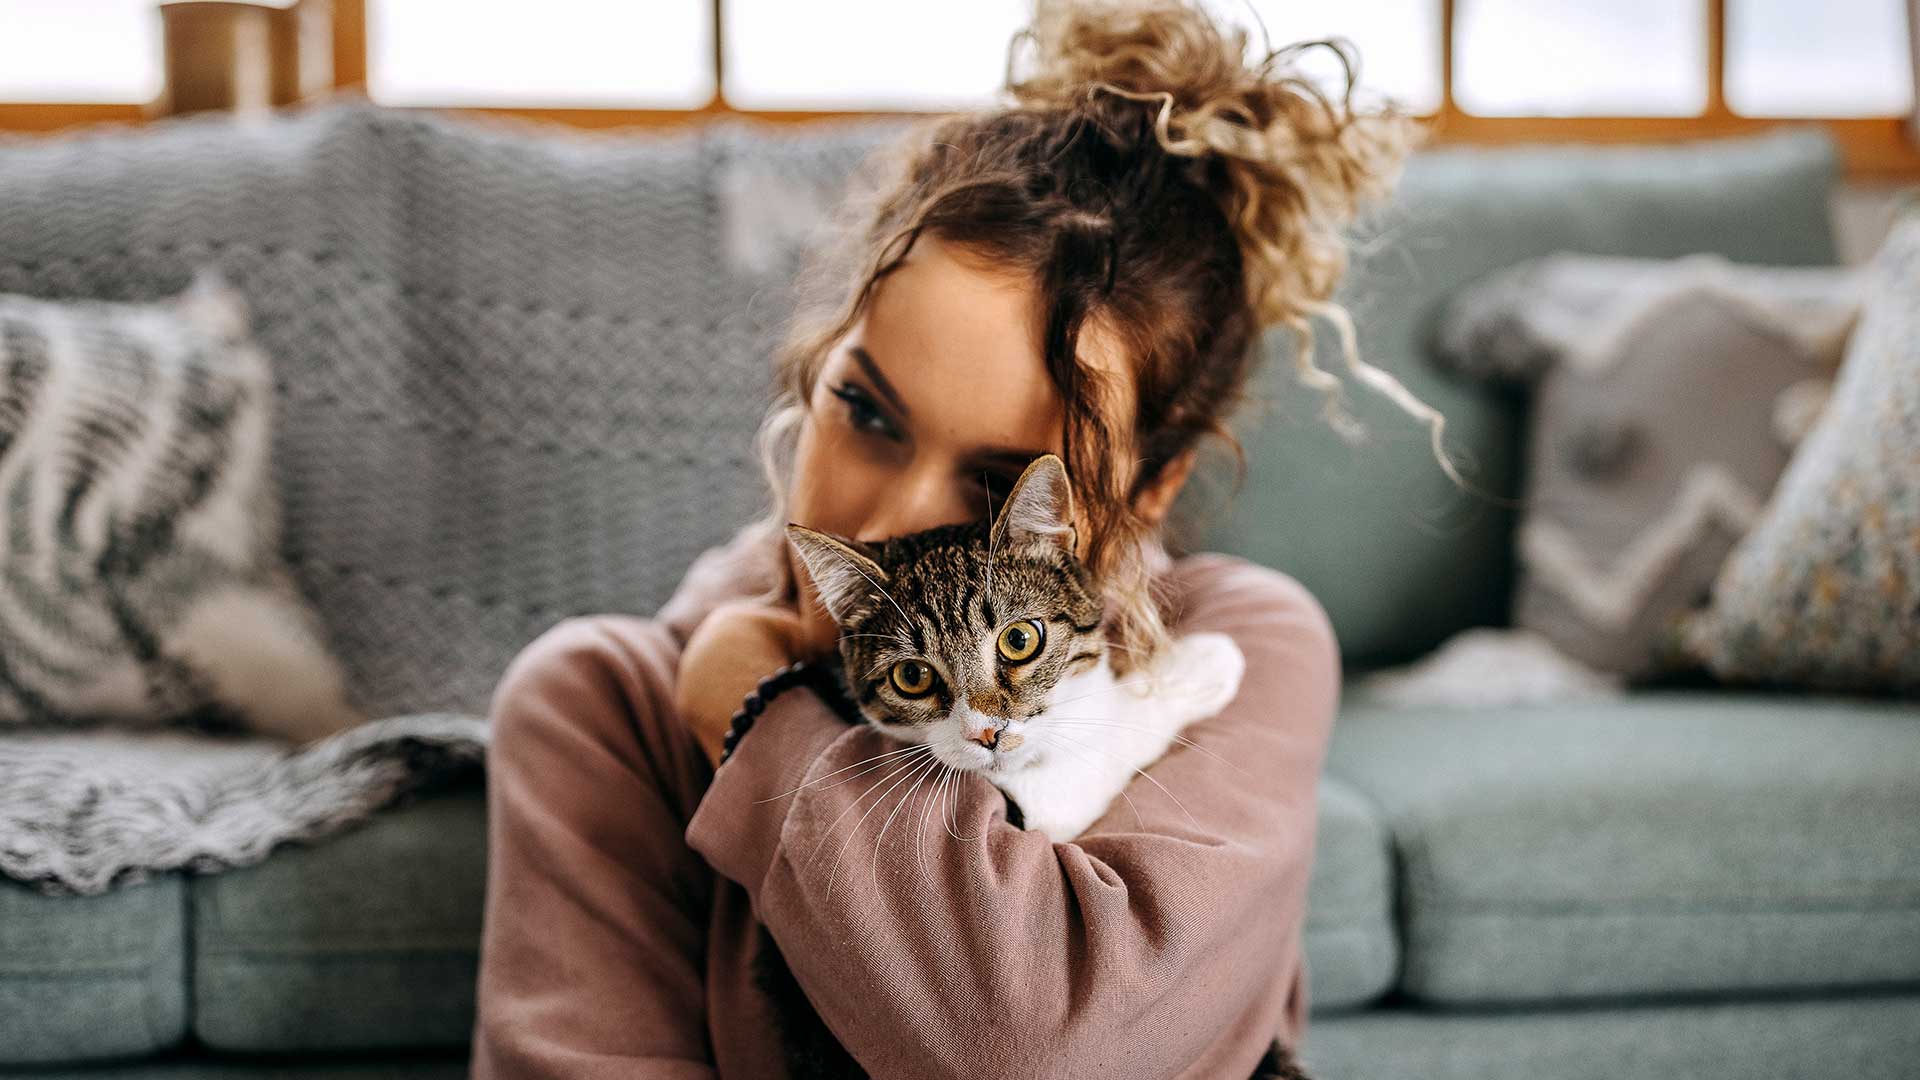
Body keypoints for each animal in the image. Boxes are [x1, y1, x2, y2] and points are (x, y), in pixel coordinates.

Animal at [787, 449, 1251, 845]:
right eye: (912, 676)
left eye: (1019, 640)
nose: (987, 732)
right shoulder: (1036, 805)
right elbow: (1111, 742)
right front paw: (1197, 665)